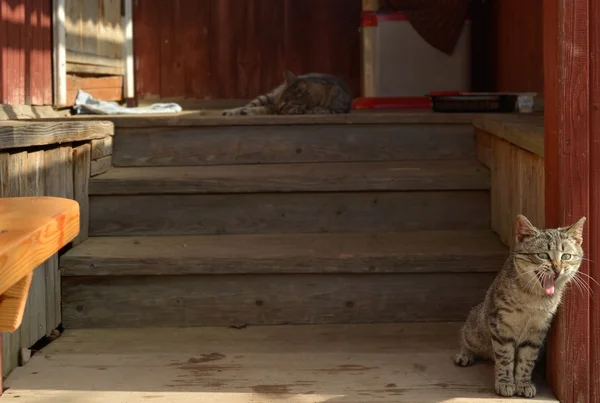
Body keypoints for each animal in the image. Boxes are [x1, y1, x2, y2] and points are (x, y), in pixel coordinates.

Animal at [220, 70, 352, 115]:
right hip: (267, 97)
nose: (279, 107)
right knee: (248, 105)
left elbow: (326, 109)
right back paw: (233, 111)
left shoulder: (341, 108)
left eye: (285, 102)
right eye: (281, 101)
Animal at [454, 216, 584, 400]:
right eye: (543, 255)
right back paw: (464, 355)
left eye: (566, 256)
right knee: (466, 337)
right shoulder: (500, 326)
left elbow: (527, 360)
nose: (557, 269)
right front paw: (505, 383)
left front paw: (523, 384)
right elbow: (505, 357)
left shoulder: (537, 332)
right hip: (476, 328)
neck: (534, 298)